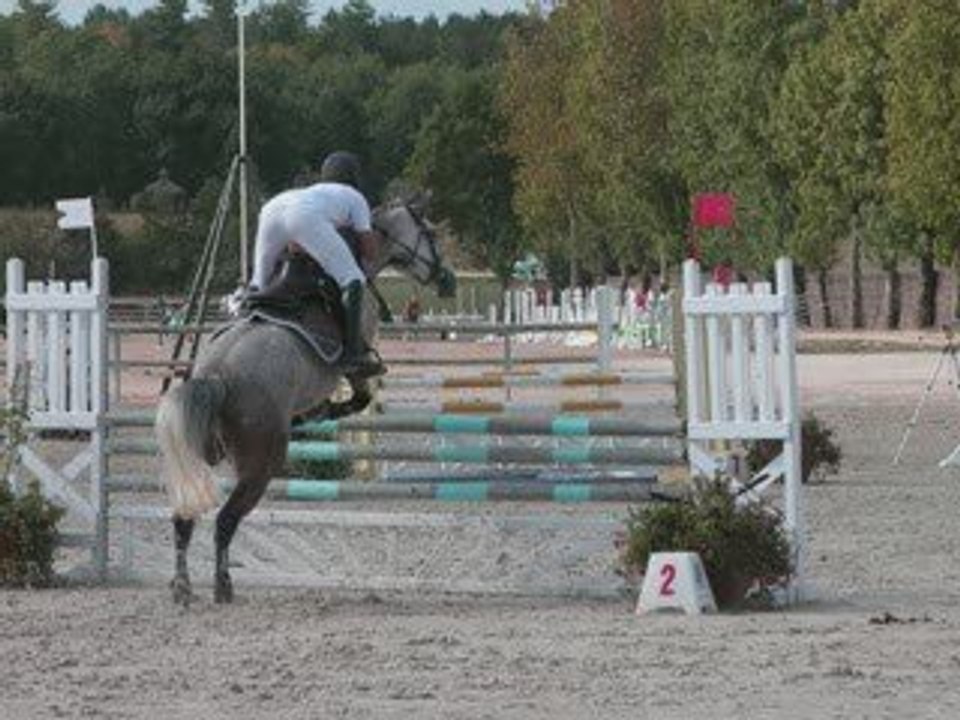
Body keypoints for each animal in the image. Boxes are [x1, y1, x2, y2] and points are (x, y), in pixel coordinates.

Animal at [154, 200, 456, 605]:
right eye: (432, 235)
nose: (447, 280)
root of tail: (215, 376)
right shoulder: (356, 364)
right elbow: (359, 397)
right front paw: (318, 413)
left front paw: (310, 416)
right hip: (261, 463)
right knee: (226, 520)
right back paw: (223, 586)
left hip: (199, 452)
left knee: (183, 519)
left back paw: (182, 586)